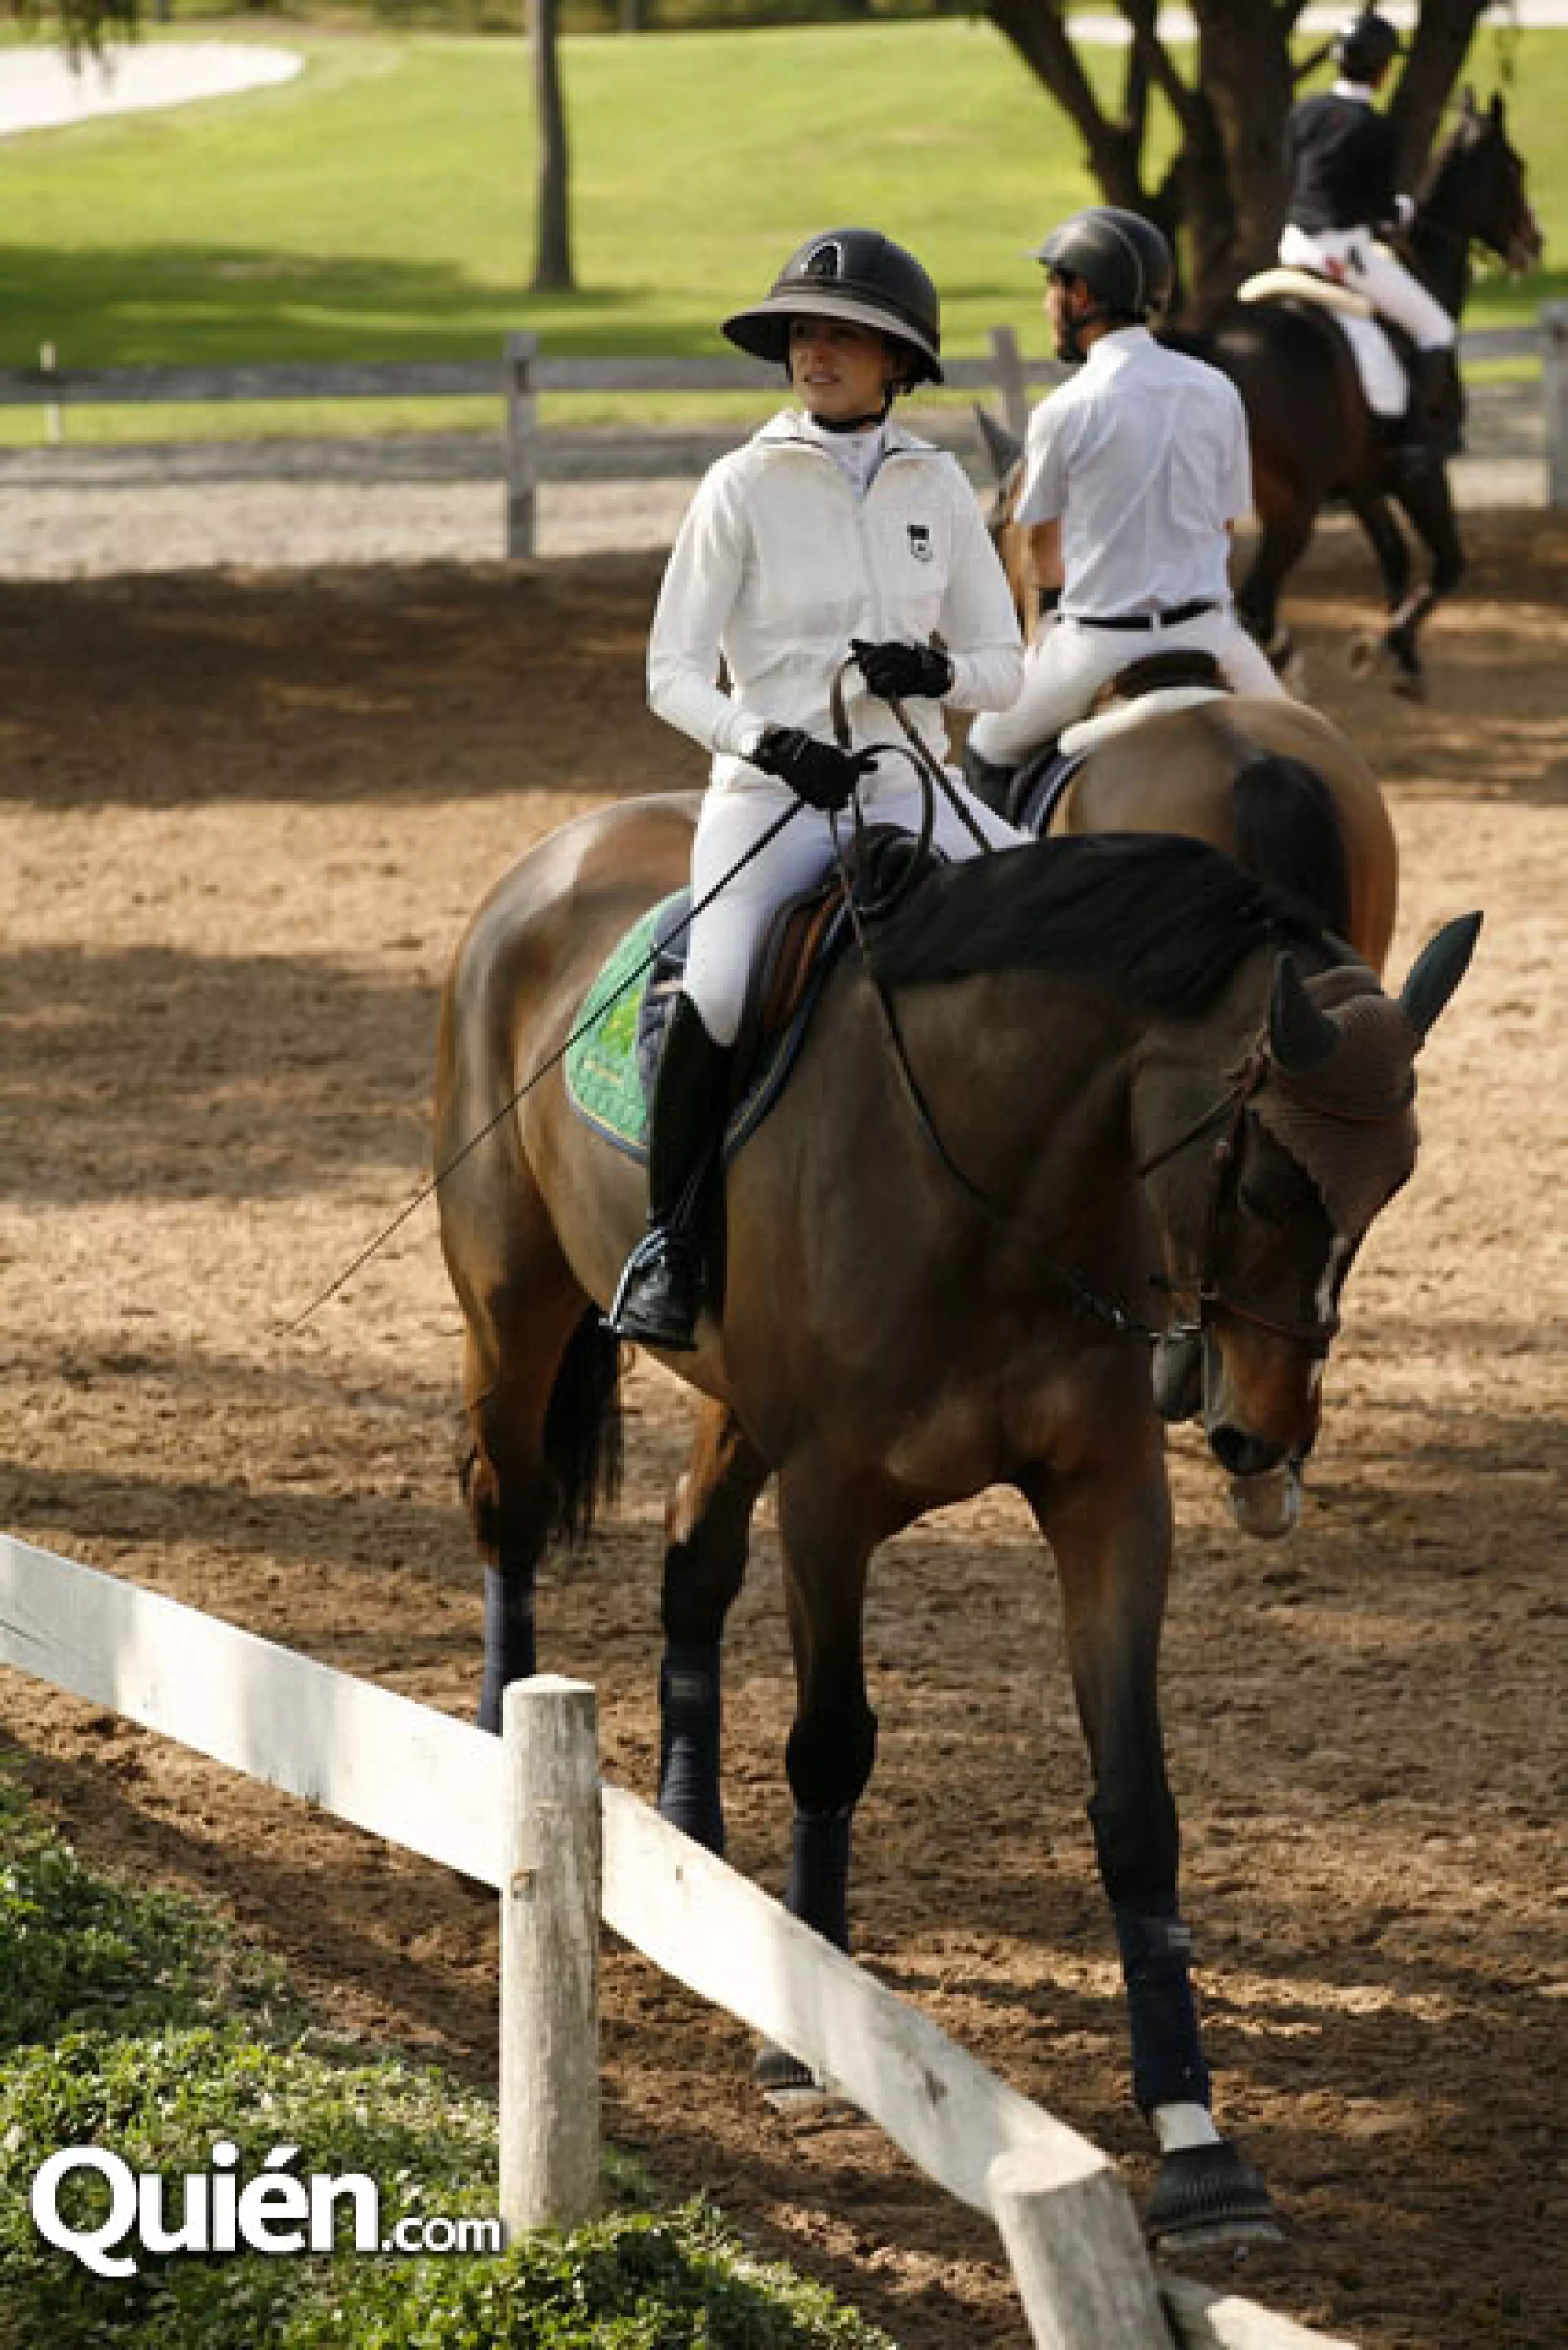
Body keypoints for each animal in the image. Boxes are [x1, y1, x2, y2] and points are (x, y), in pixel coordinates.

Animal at [435, 794, 1476, 2256]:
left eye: (1397, 1180)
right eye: (1266, 1172)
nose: (1262, 1439)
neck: (1001, 1185)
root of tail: (555, 855)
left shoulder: (1109, 1499)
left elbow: (1135, 1800)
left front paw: (1200, 2146)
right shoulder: (832, 1503)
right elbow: (830, 1751)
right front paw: (802, 2037)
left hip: (732, 1401)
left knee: (692, 1560)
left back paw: (694, 1853)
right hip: (514, 1309)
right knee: (511, 1518)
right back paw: (486, 1785)